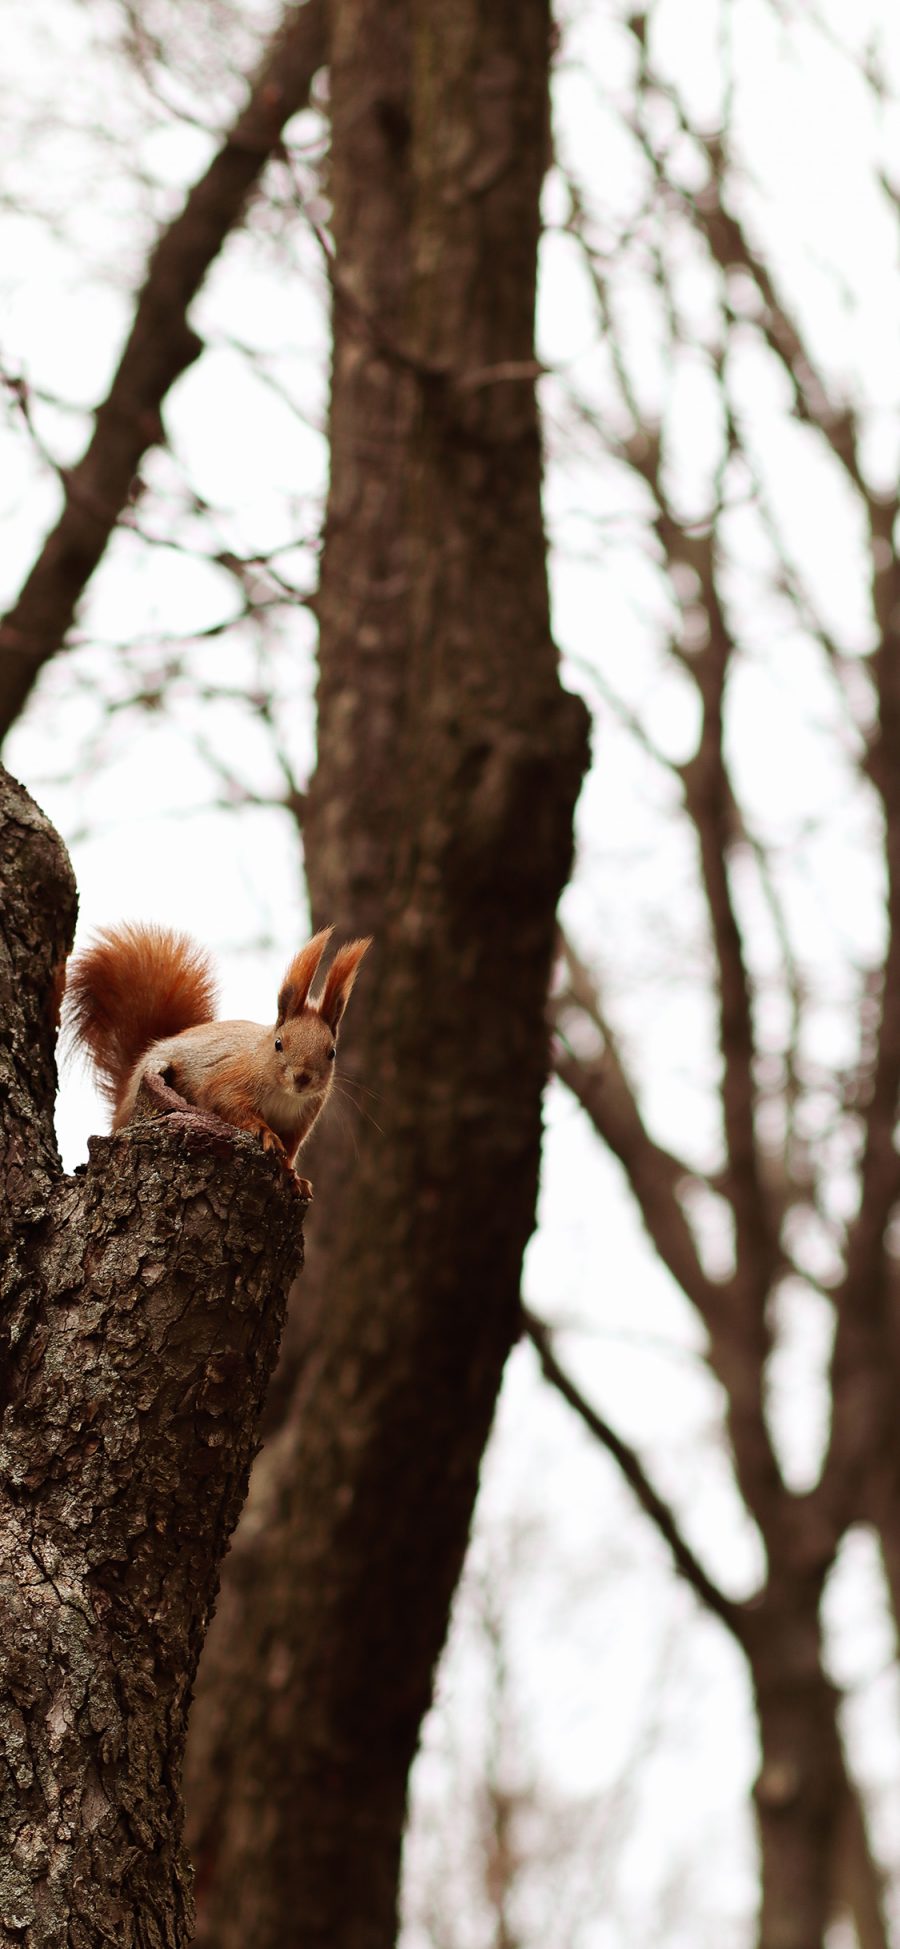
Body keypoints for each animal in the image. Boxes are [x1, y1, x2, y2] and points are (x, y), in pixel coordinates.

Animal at [65, 919, 370, 1192]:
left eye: (331, 1052)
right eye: (279, 1044)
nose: (302, 1078)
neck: (284, 1094)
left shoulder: (300, 1121)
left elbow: (291, 1150)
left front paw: (293, 1176)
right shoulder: (230, 1079)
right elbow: (228, 1104)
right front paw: (265, 1133)